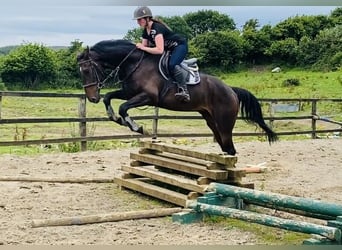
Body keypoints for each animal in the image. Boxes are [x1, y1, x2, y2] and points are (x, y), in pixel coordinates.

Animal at [77, 39, 278, 155]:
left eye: (86, 70)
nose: (92, 98)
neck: (134, 63)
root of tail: (231, 90)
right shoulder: (129, 92)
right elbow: (109, 98)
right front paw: (116, 118)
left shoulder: (148, 97)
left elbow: (123, 107)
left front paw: (137, 127)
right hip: (211, 121)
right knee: (225, 147)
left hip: (225, 122)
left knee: (230, 147)